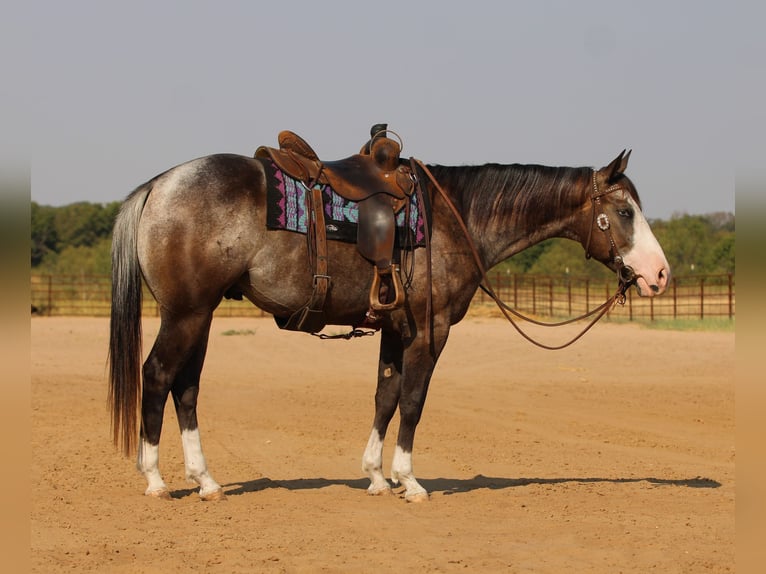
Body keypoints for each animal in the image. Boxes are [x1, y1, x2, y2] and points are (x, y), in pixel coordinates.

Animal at [109, 133, 672, 502]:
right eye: (625, 212)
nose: (660, 274)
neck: (456, 219)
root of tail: (159, 185)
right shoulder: (431, 329)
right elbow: (414, 401)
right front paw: (410, 480)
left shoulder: (396, 331)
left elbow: (385, 396)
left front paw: (377, 476)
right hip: (186, 315)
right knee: (157, 376)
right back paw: (156, 480)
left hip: (199, 316)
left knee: (186, 387)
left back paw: (206, 481)